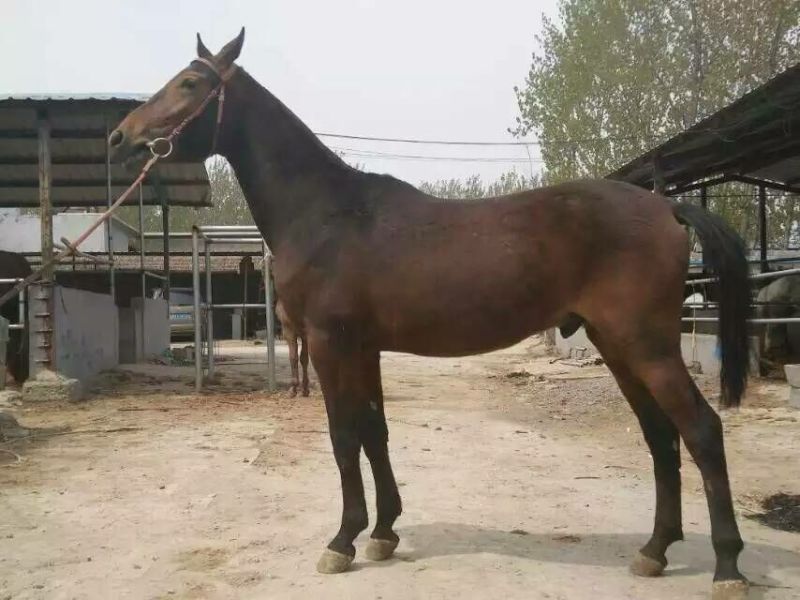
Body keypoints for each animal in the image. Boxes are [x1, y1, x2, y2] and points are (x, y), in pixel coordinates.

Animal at [109, 30, 751, 599]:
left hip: (647, 346)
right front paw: (384, 533)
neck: (330, 215)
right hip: (617, 345)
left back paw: (727, 569)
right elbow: (375, 432)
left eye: (190, 83)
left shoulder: (330, 343)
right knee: (660, 436)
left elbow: (344, 435)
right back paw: (654, 551)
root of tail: (667, 207)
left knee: (701, 431)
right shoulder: (363, 347)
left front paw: (342, 541)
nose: (120, 138)